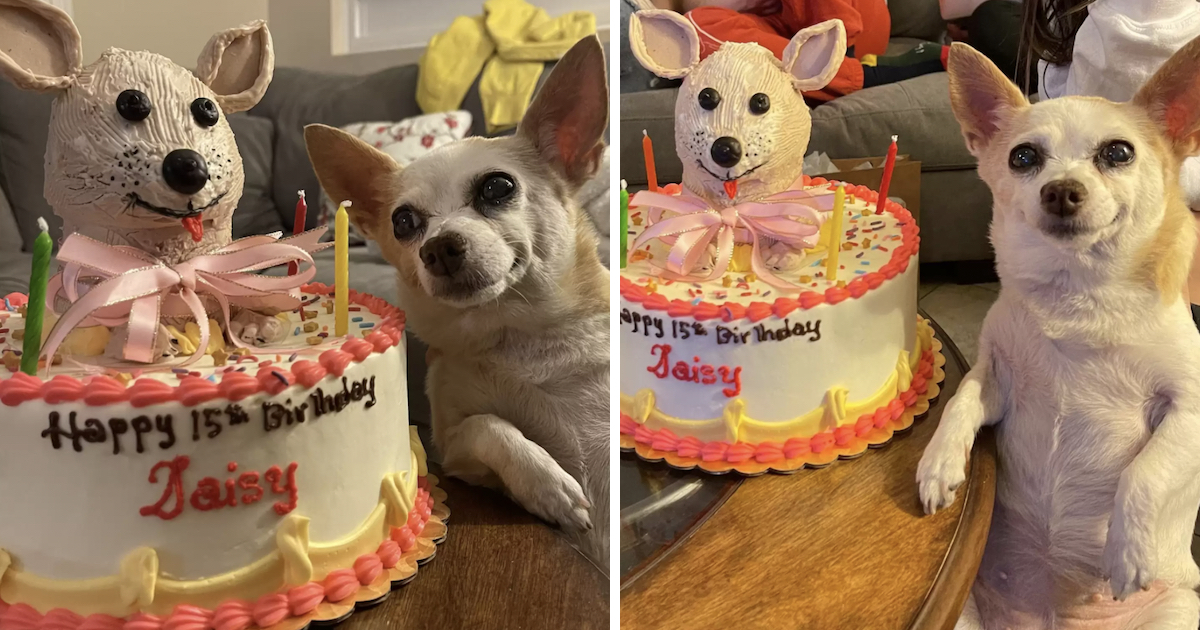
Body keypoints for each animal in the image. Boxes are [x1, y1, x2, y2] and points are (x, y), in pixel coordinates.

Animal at [0, 0, 285, 350]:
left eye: (207, 109)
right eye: (131, 102)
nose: (189, 165)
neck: (172, 256)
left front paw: (257, 322)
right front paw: (148, 336)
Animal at [916, 40, 1200, 628]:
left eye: (1119, 152)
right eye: (1022, 158)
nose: (1061, 190)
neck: (1076, 294)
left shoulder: (1189, 411)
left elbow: (1146, 471)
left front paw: (1127, 551)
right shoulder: (994, 378)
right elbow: (960, 401)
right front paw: (938, 463)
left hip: (1178, 608)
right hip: (964, 612)